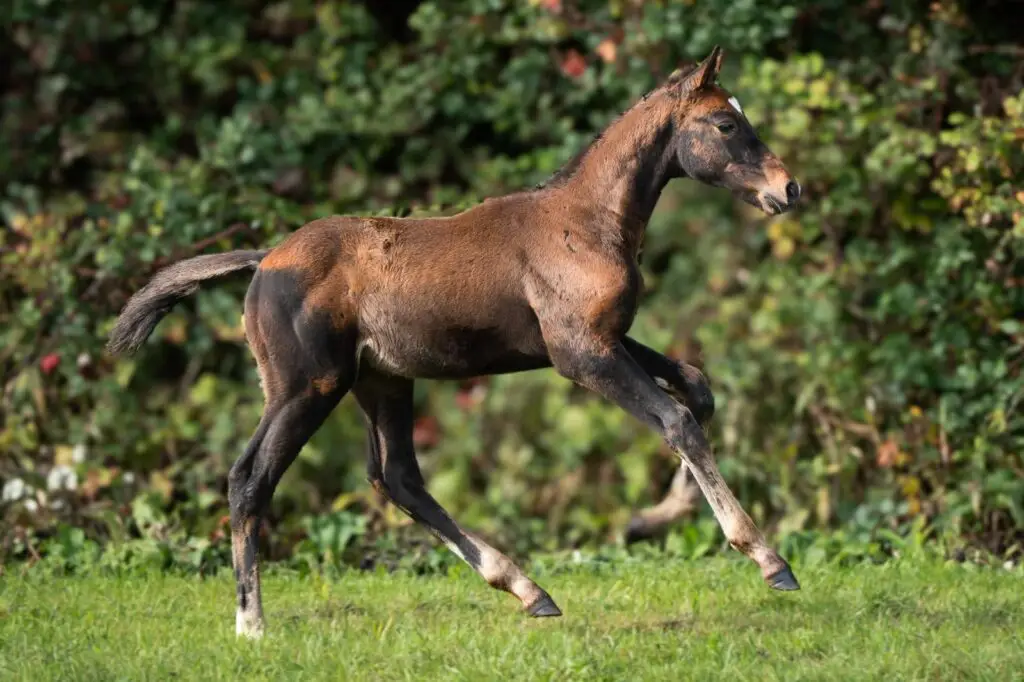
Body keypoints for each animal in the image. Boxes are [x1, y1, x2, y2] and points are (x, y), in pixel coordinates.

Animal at [107, 46, 803, 638]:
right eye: (724, 124)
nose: (788, 188)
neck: (585, 220)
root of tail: (262, 262)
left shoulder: (603, 340)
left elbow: (696, 389)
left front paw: (659, 514)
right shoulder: (581, 355)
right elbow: (676, 417)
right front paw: (766, 558)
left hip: (382, 380)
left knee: (397, 478)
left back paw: (529, 591)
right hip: (307, 386)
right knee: (250, 478)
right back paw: (251, 624)